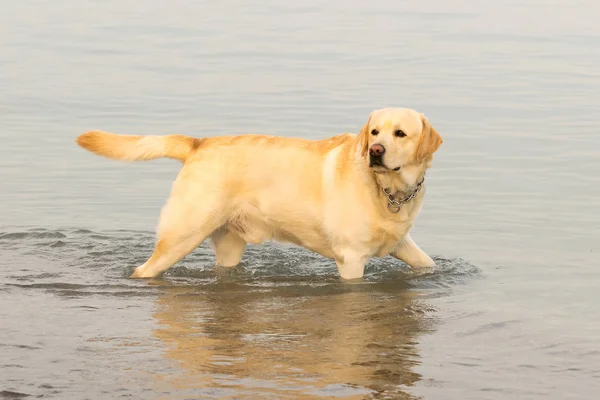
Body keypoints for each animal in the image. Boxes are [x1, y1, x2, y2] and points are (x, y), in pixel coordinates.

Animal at [76, 108, 440, 280]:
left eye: (400, 133)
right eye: (374, 132)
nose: (375, 151)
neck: (387, 191)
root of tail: (198, 142)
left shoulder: (401, 243)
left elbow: (429, 264)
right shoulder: (350, 259)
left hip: (228, 243)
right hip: (182, 234)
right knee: (144, 270)